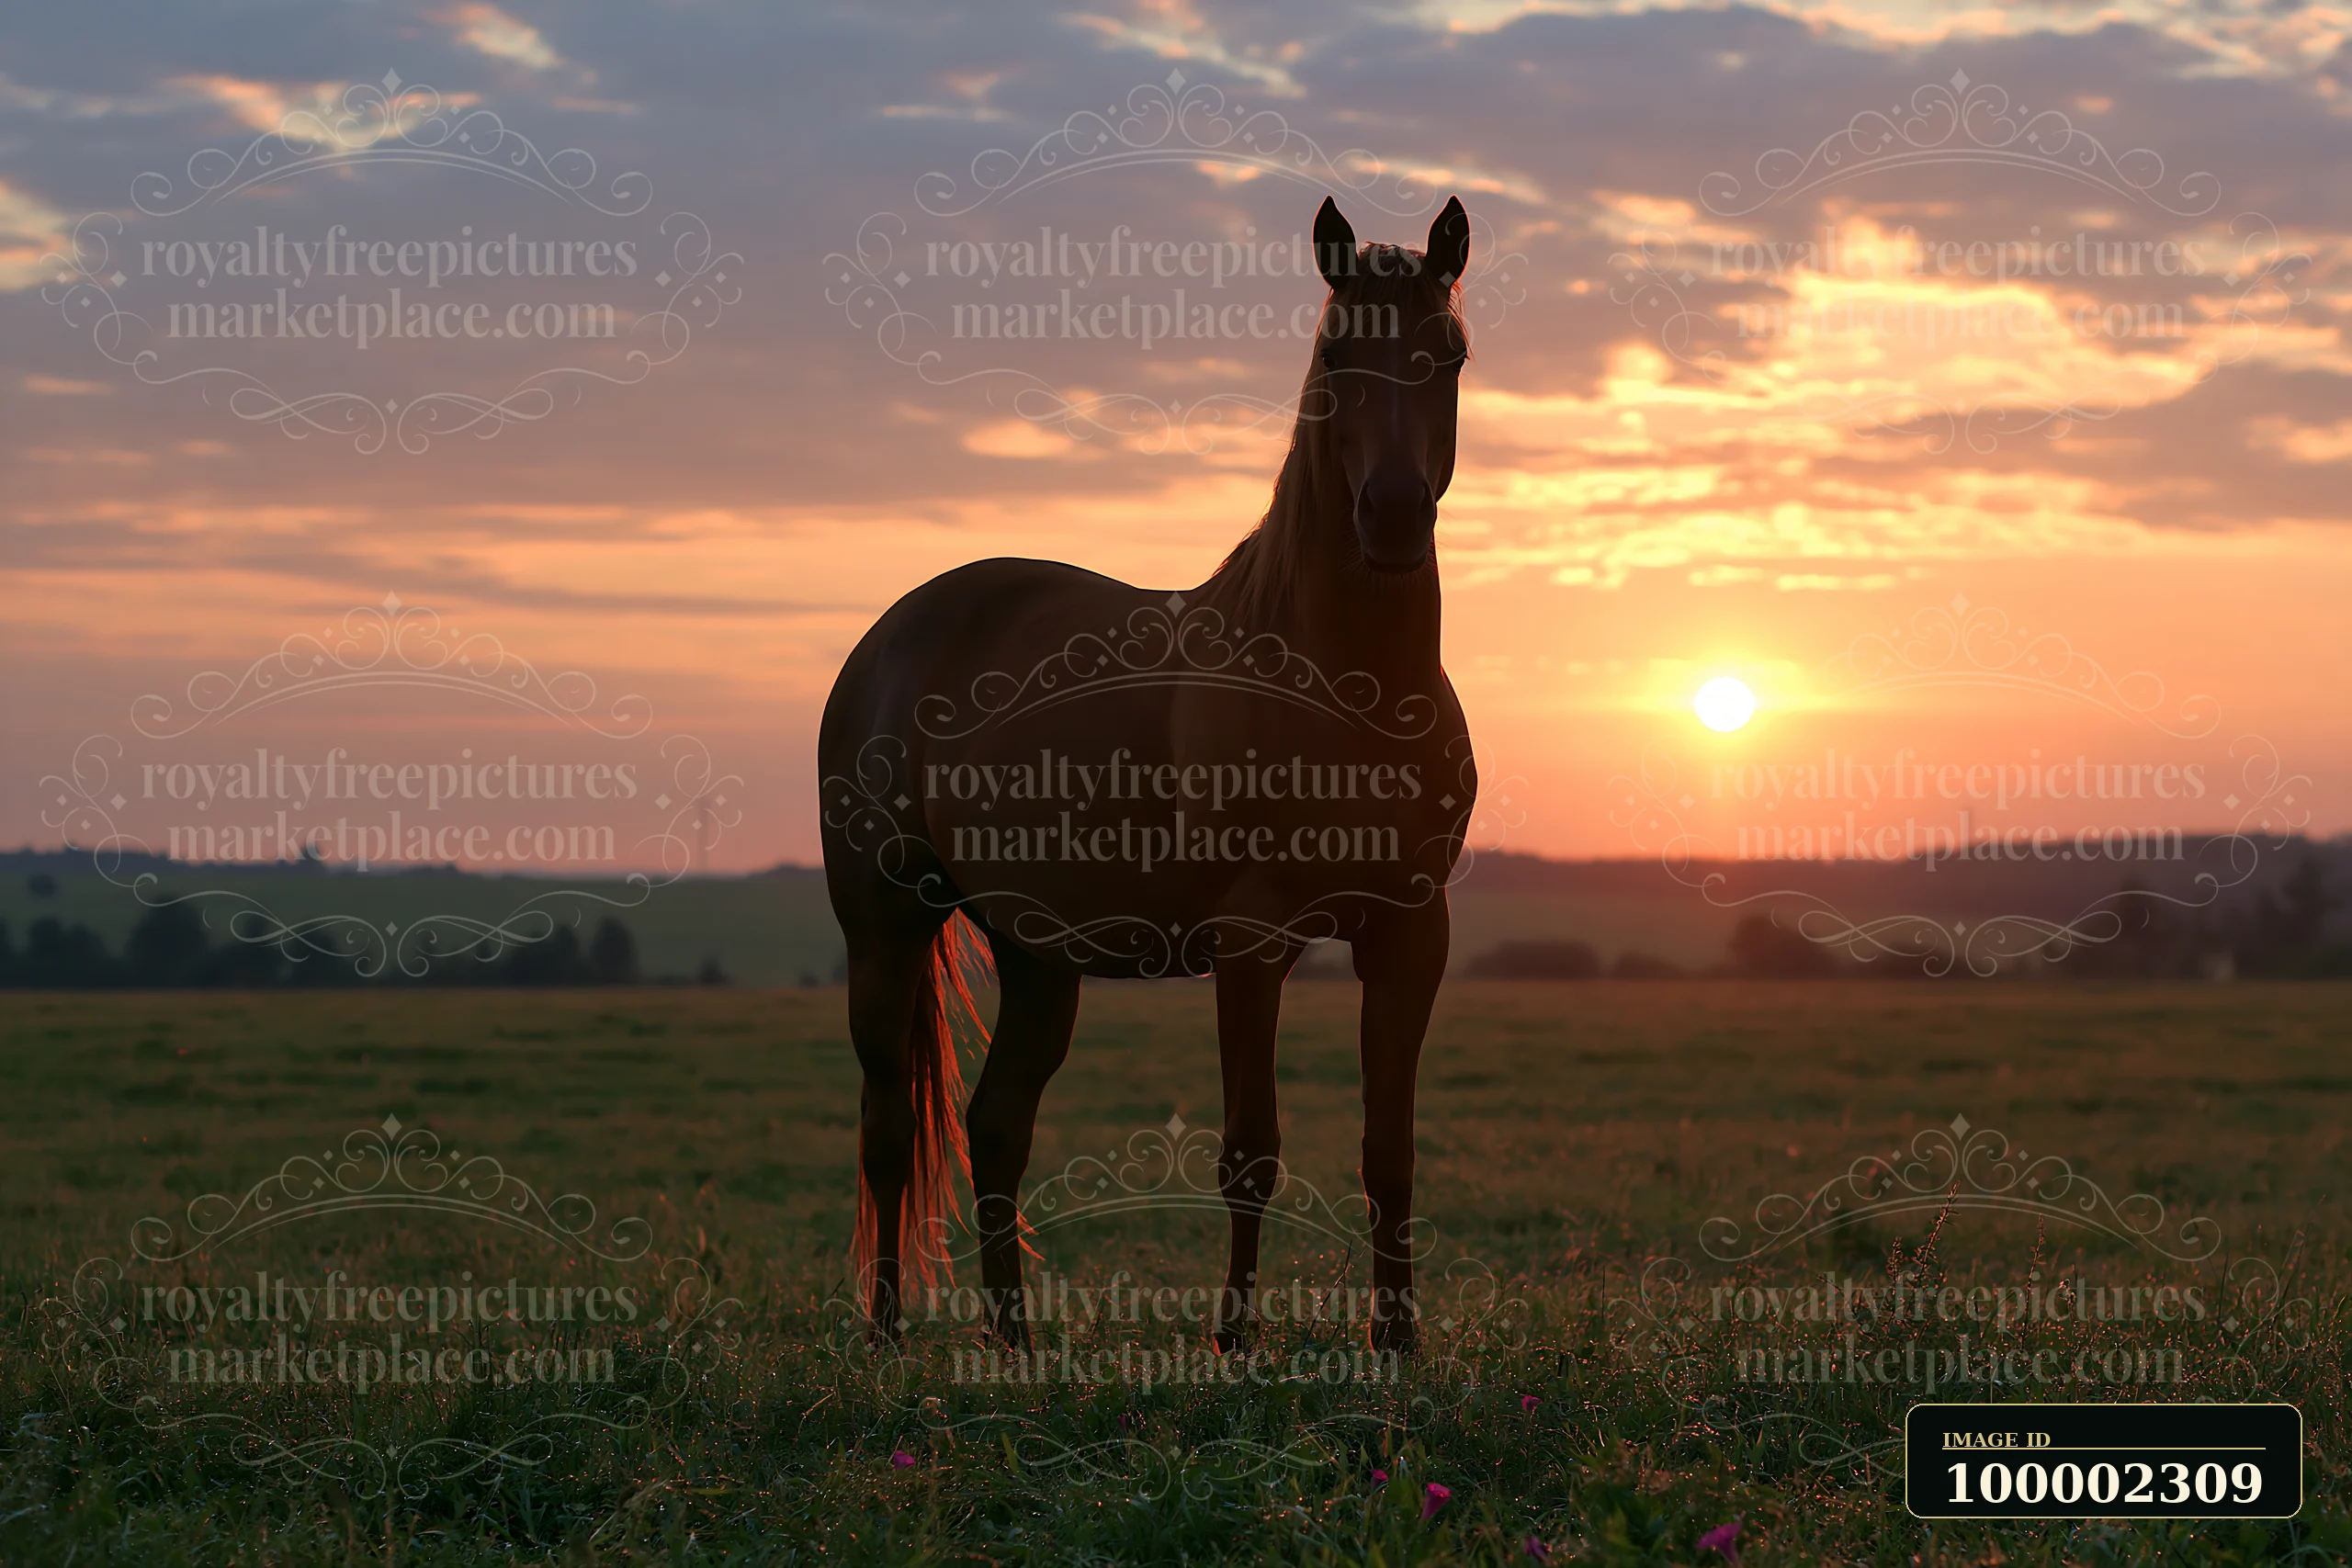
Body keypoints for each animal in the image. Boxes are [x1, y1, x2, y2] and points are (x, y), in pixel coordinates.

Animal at [819, 194, 1474, 1355]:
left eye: (1449, 353)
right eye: (1333, 355)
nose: (1392, 518)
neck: (1347, 689)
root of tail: (893, 632)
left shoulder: (1411, 933)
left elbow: (1388, 1150)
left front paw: (1397, 1346)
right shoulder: (1251, 942)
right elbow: (1250, 1151)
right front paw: (1234, 1345)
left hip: (1035, 952)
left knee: (994, 1124)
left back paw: (1015, 1346)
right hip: (886, 928)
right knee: (889, 1127)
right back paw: (890, 1340)